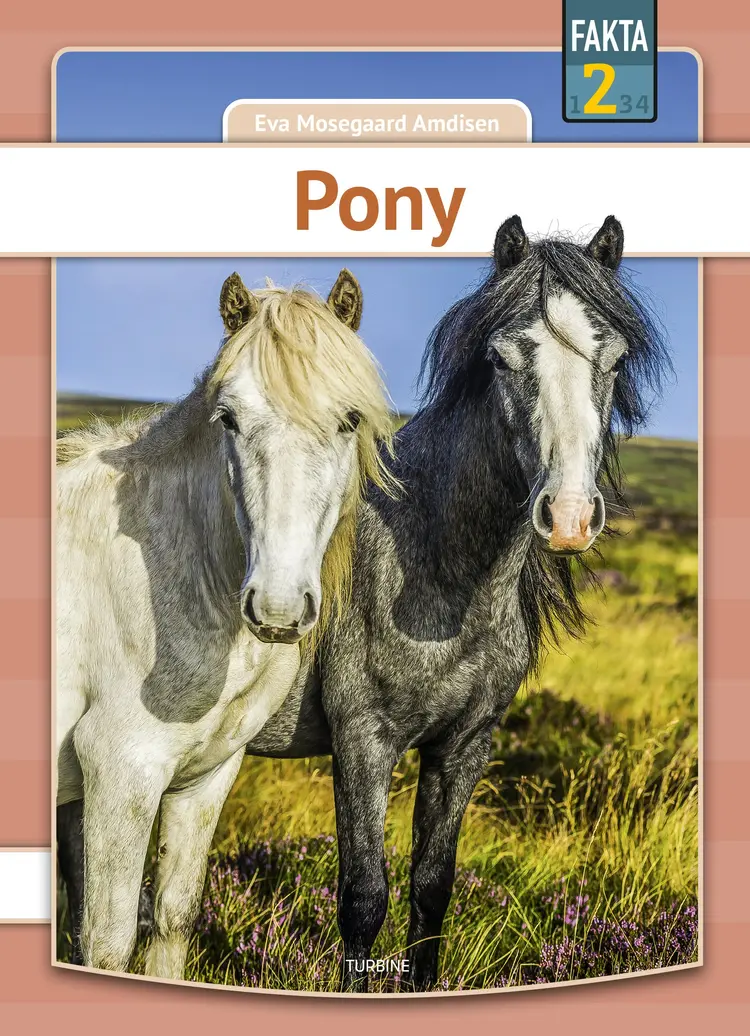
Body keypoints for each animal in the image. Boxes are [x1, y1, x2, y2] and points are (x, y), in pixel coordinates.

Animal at [55, 268, 394, 980]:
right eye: (229, 418)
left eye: (349, 419)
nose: (278, 608)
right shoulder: (119, 774)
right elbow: (106, 942)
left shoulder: (204, 780)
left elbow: (173, 919)